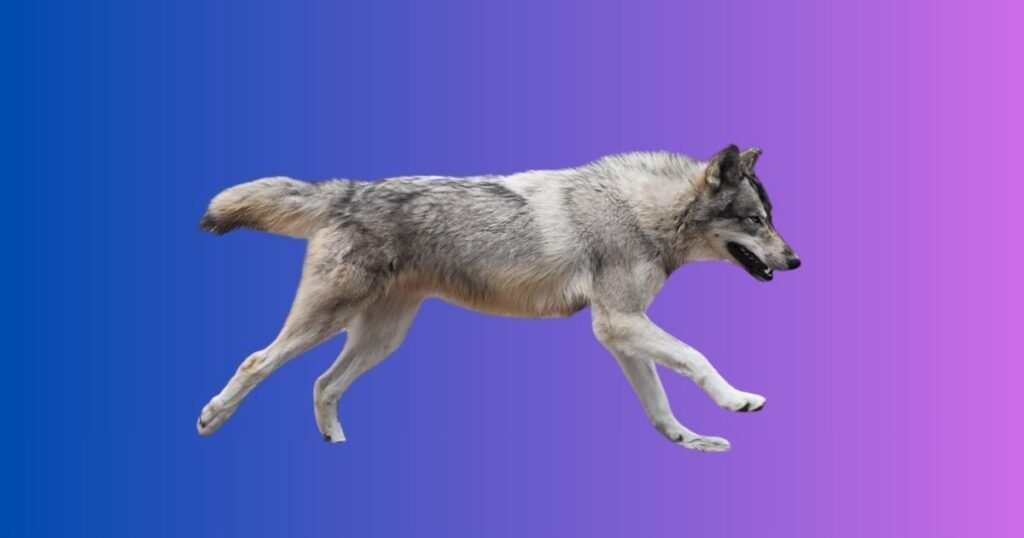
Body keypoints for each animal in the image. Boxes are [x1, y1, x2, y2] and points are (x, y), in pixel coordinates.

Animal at [196, 145, 800, 452]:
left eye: (772, 218)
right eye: (755, 221)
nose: (796, 262)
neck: (640, 212)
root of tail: (347, 190)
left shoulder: (621, 333)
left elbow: (658, 402)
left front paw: (687, 439)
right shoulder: (619, 322)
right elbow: (697, 358)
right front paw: (737, 400)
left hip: (382, 338)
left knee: (324, 383)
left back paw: (336, 445)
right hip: (326, 321)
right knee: (257, 362)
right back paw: (211, 418)